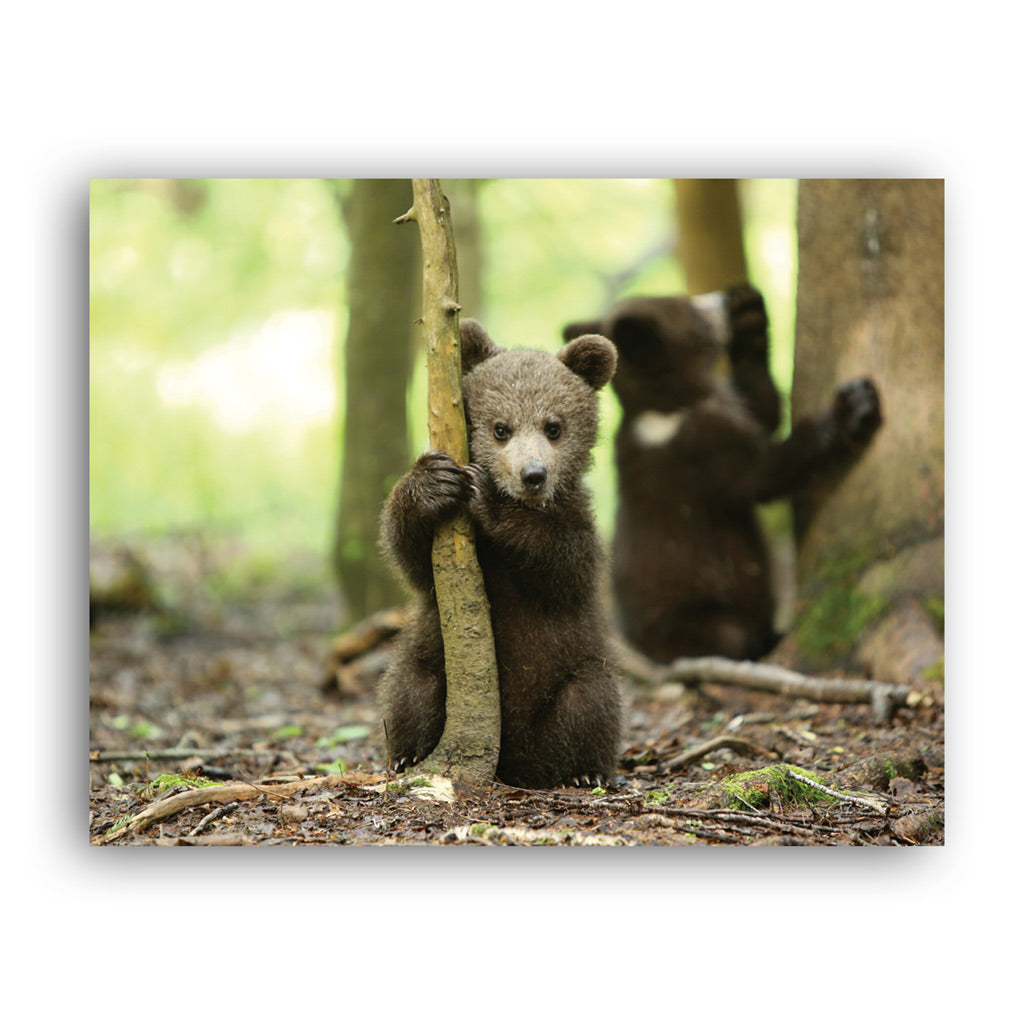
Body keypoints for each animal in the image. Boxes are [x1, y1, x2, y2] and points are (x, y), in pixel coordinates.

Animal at [377, 318, 622, 789]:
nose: (533, 475)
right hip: (429, 658)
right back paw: (407, 756)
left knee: (590, 703)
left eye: (554, 426)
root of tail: (514, 762)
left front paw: (488, 499)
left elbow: (564, 565)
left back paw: (583, 772)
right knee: (409, 689)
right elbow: (411, 558)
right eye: (500, 428)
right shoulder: (439, 566)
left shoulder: (578, 526)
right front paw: (432, 482)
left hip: (576, 669)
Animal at [563, 284, 882, 664]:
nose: (720, 298)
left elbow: (762, 410)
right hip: (701, 617)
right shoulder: (702, 447)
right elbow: (762, 475)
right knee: (730, 638)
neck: (668, 407)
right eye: (690, 308)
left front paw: (749, 311)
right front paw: (853, 405)